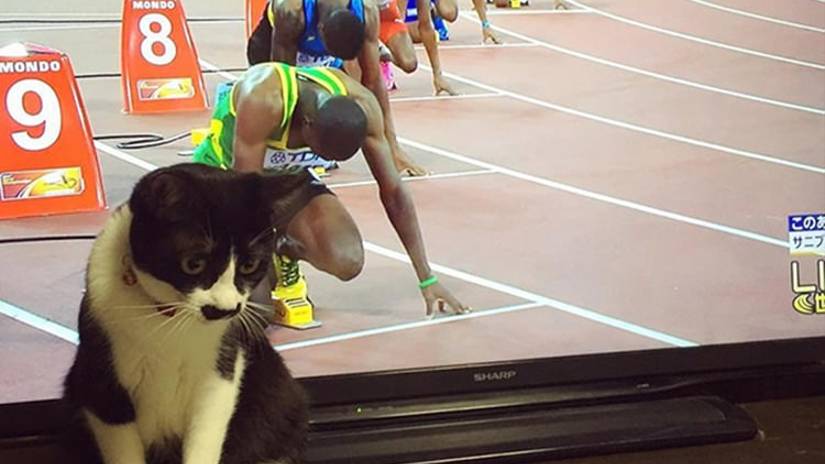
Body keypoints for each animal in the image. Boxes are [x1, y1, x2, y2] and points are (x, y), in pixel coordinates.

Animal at [62, 163, 310, 464]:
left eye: (250, 265)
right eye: (193, 264)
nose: (224, 309)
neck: (169, 318)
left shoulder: (219, 374)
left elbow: (206, 435)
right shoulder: (101, 380)